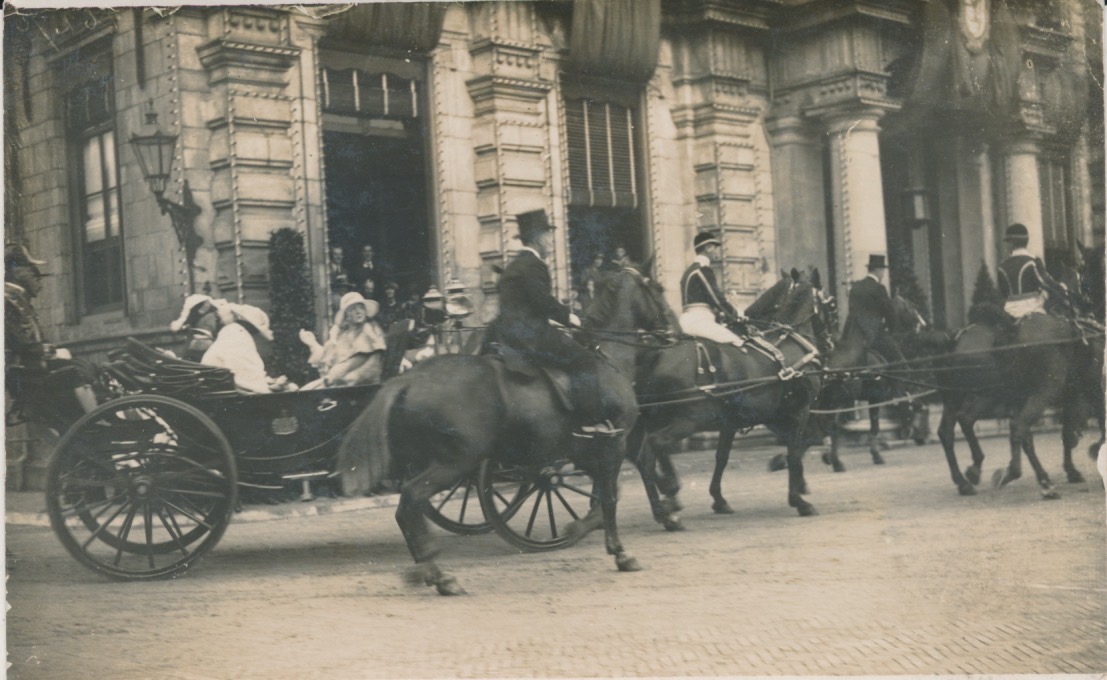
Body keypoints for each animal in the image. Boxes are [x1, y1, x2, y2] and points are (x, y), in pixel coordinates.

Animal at [334, 264, 674, 595]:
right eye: (656, 289)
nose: (672, 331)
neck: (607, 358)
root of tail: (407, 379)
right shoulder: (612, 444)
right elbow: (609, 497)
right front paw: (617, 549)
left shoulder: (588, 449)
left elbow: (606, 493)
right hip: (454, 462)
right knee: (410, 500)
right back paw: (438, 574)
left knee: (408, 508)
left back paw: (428, 570)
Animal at [608, 267, 833, 524]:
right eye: (831, 304)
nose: (830, 343)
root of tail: (655, 352)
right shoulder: (797, 411)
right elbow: (798, 448)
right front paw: (798, 497)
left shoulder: (738, 421)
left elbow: (722, 456)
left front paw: (718, 498)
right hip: (687, 420)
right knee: (651, 448)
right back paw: (667, 500)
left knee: (639, 453)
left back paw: (666, 496)